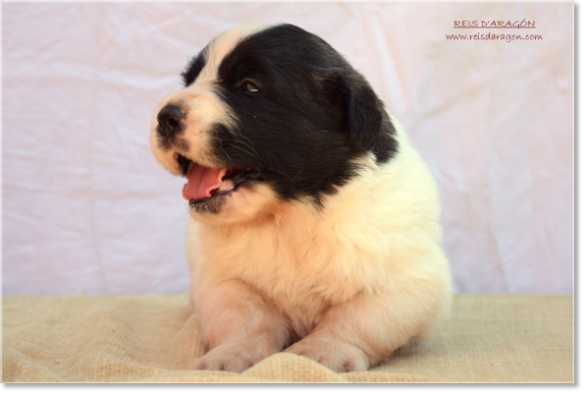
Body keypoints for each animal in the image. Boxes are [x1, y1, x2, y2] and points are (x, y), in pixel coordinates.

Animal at [151, 23, 452, 374]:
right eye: (189, 81)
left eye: (249, 87)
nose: (165, 117)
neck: (290, 213)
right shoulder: (220, 278)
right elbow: (244, 314)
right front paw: (232, 355)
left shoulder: (410, 279)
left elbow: (360, 314)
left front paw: (321, 352)